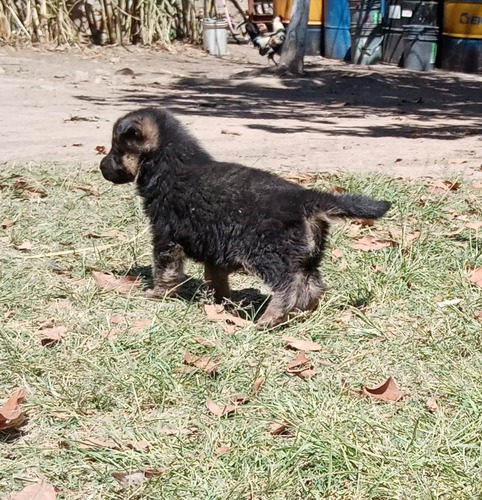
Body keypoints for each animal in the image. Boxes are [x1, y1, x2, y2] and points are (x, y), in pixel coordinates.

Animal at [100, 108, 390, 328]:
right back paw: (302, 312)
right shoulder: (215, 244)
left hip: (266, 253)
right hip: (306, 256)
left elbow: (164, 270)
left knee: (289, 285)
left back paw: (270, 318)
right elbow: (216, 276)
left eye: (115, 149)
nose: (101, 168)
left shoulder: (166, 236)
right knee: (313, 284)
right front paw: (220, 302)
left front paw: (157, 294)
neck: (171, 165)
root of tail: (304, 198)